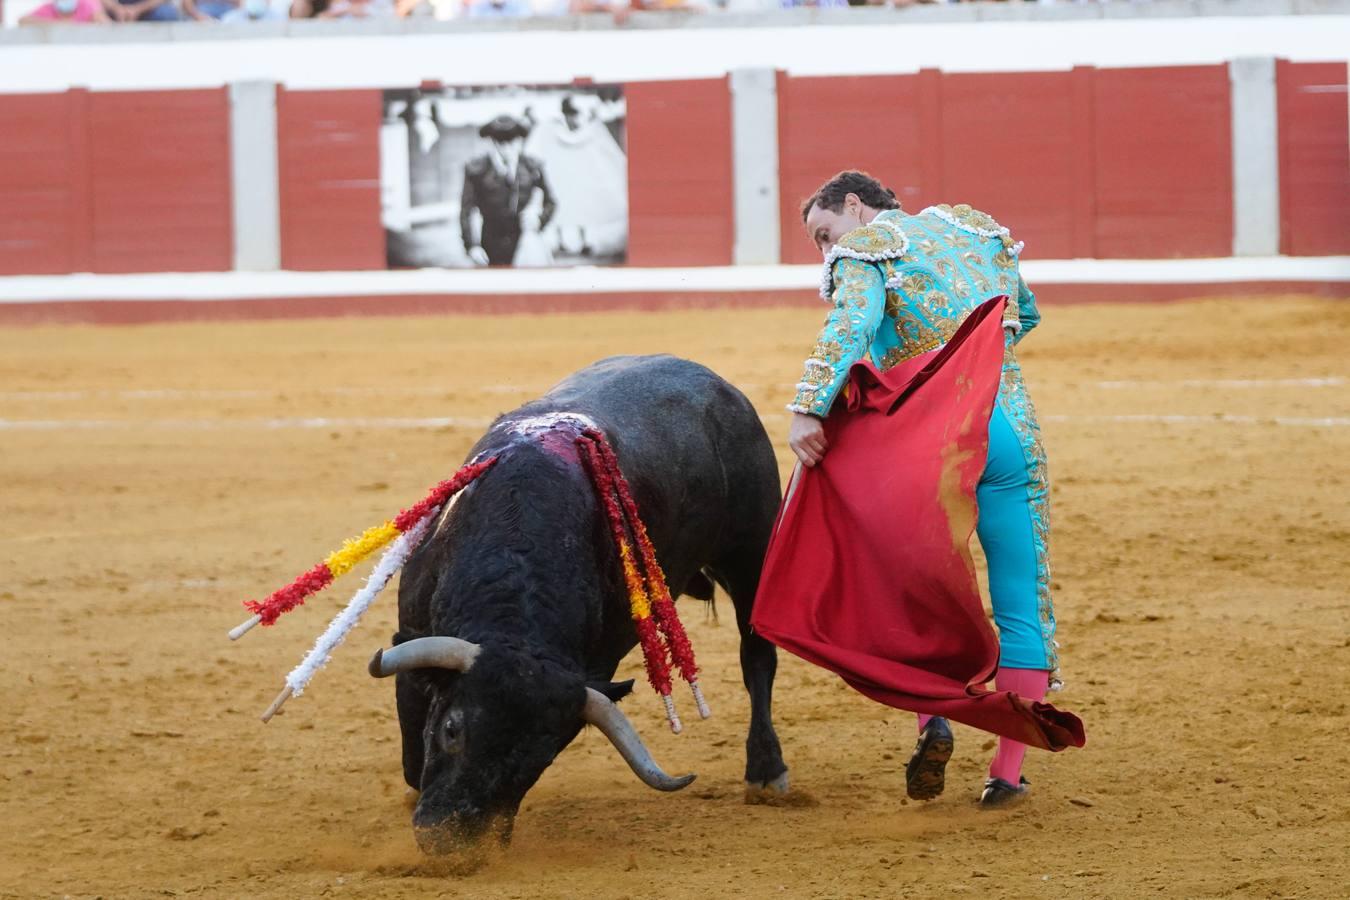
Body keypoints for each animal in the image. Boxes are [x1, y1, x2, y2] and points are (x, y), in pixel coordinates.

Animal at [369, 356, 788, 858]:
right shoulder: (412, 637)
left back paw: (766, 771)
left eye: (541, 758)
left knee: (757, 656)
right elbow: (413, 753)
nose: (451, 841)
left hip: (753, 552)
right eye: (452, 729)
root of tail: (720, 387)